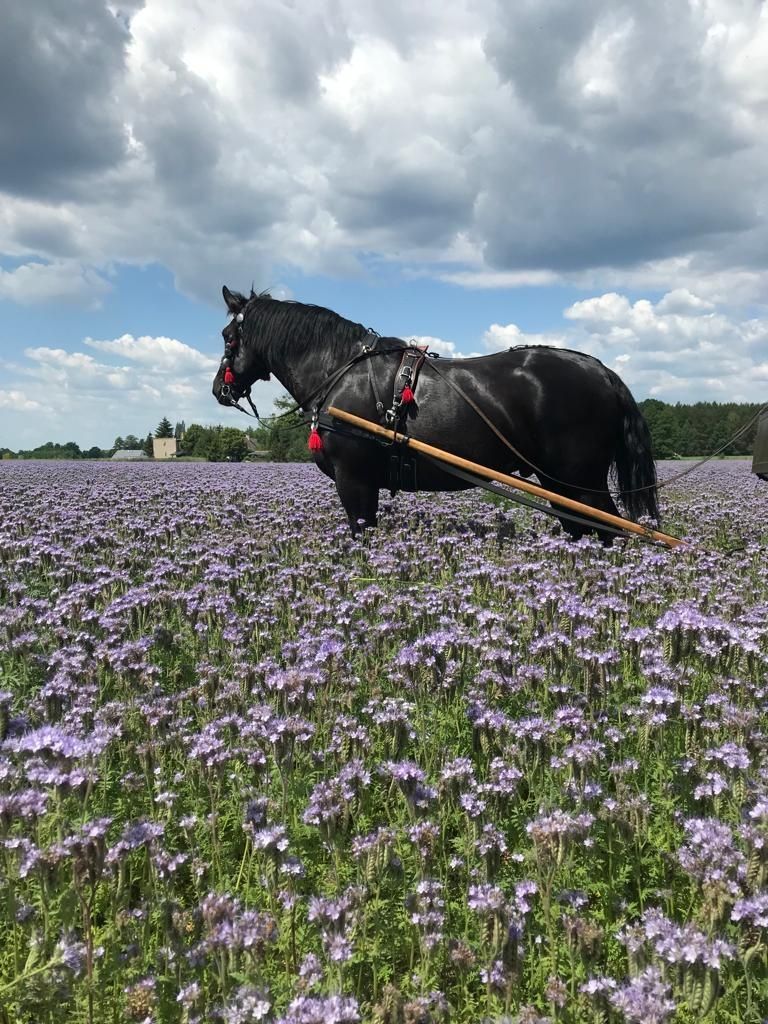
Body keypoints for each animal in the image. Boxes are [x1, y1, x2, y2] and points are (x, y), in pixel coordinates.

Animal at [214, 288, 659, 540]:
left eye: (226, 335)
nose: (220, 389)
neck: (338, 371)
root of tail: (603, 371)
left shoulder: (354, 478)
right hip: (560, 484)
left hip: (579, 482)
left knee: (608, 531)